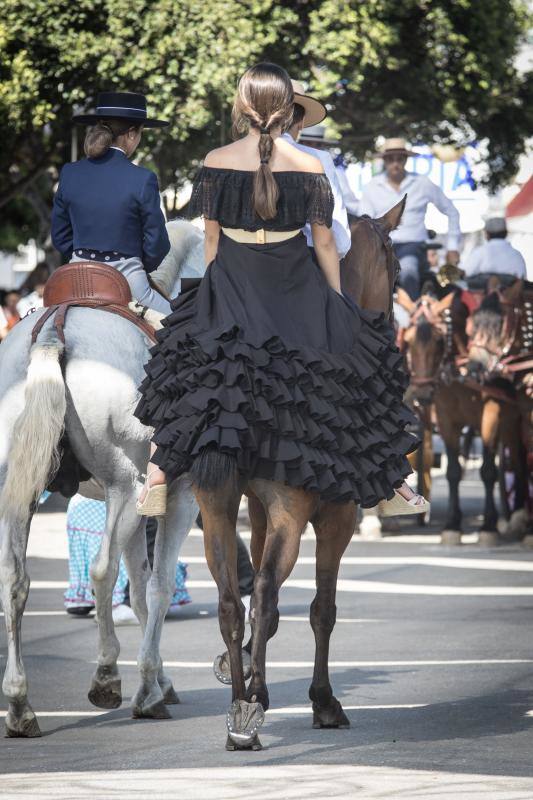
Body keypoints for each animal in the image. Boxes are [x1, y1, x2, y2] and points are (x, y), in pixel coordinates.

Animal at [0, 219, 204, 736]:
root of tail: (54, 331)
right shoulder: (178, 496)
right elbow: (156, 585)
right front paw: (149, 688)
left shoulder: (145, 503)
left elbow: (143, 585)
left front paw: (160, 680)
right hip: (125, 487)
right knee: (101, 570)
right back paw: (107, 676)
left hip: (20, 489)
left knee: (14, 576)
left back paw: (19, 704)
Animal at [193, 200, 406, 752]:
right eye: (397, 271)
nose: (392, 324)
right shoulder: (337, 518)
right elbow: (321, 609)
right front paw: (322, 701)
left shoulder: (257, 512)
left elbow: (255, 607)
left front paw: (252, 672)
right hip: (293, 514)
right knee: (267, 595)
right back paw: (250, 715)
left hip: (217, 506)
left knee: (231, 601)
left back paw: (238, 712)